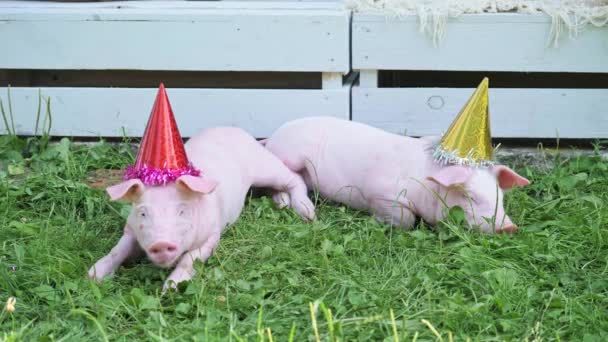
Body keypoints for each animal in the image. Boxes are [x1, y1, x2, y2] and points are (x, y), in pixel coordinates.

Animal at [88, 127, 316, 290]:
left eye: (182, 211)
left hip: (265, 166)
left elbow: (189, 259)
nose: (161, 243)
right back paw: (282, 202)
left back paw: (307, 213)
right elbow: (117, 251)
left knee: (293, 178)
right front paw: (92, 276)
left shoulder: (212, 236)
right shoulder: (130, 230)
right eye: (143, 212)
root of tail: (237, 130)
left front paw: (170, 289)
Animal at [264, 116, 528, 234]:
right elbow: (406, 219)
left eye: (500, 197)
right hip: (292, 154)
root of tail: (274, 137)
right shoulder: (381, 193)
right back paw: (307, 214)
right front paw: (378, 221)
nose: (510, 227)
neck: (426, 181)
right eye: (470, 197)